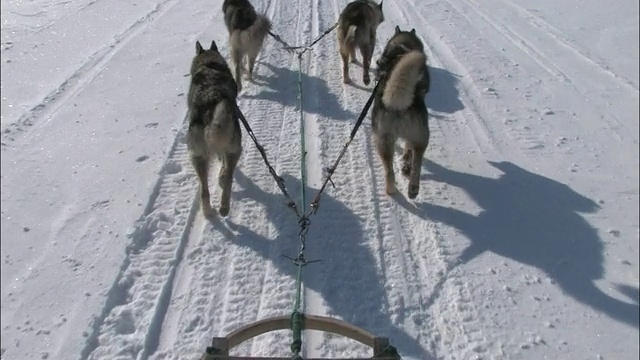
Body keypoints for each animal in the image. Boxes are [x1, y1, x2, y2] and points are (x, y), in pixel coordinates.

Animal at [189, 41, 244, 218]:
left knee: (205, 191)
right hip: (235, 150)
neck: (210, 65)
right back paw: (223, 207)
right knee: (227, 180)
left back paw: (210, 211)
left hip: (198, 157)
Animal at [370, 25, 430, 200]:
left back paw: (399, 189)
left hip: (384, 141)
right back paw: (411, 186)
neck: (401, 50)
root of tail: (397, 105)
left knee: (390, 171)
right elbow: (408, 150)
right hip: (420, 137)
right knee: (416, 162)